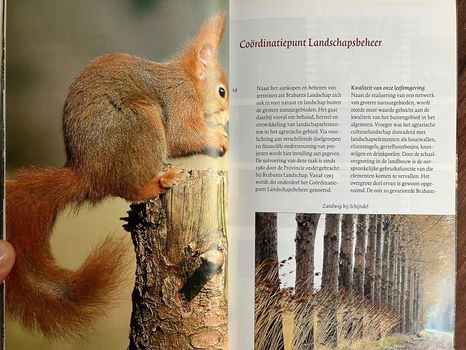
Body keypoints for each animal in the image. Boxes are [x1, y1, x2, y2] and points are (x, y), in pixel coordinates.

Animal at [5, 13, 228, 340]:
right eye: (222, 91)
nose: (226, 119)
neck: (187, 82)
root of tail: (88, 174)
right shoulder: (180, 102)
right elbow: (181, 137)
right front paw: (219, 138)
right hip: (141, 124)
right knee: (130, 189)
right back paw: (160, 181)